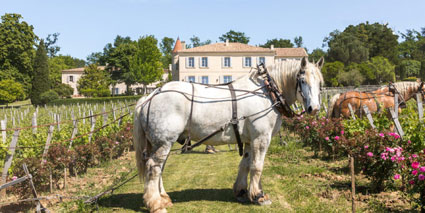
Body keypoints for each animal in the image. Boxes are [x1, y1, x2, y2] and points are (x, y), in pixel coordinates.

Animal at [134, 57, 322, 213]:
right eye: (302, 80)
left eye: (320, 83)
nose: (314, 108)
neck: (268, 93)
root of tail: (150, 96)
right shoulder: (261, 138)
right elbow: (257, 166)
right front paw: (259, 196)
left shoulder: (250, 140)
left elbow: (245, 164)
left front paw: (242, 191)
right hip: (164, 142)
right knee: (153, 168)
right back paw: (156, 204)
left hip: (161, 143)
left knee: (159, 168)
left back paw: (164, 198)